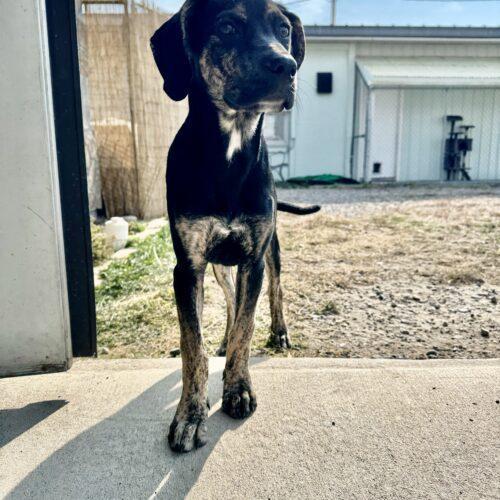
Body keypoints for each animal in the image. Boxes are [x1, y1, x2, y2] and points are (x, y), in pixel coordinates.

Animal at [150, 0, 318, 454]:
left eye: (283, 30)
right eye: (227, 27)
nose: (286, 65)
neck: (229, 153)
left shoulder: (253, 259)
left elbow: (247, 325)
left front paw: (238, 388)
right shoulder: (187, 267)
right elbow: (193, 345)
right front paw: (190, 414)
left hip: (269, 251)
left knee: (275, 292)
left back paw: (278, 332)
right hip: (218, 265)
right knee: (228, 302)